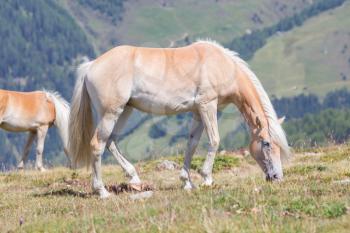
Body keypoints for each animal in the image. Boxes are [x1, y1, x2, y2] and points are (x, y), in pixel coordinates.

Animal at [68, 39, 290, 198]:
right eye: (266, 143)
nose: (277, 177)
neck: (222, 66)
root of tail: (91, 66)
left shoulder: (198, 112)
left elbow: (192, 144)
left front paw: (187, 182)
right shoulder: (207, 105)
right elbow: (214, 140)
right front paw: (207, 178)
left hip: (124, 111)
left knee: (111, 141)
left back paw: (134, 178)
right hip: (111, 113)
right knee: (97, 144)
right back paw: (102, 192)